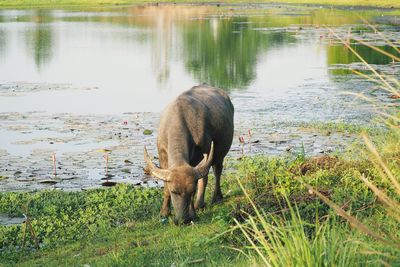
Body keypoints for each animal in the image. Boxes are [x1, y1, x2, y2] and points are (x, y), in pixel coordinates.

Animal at [144, 85, 233, 225]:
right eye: (174, 191)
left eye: (191, 191)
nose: (183, 220)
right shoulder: (162, 156)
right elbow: (165, 187)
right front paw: (164, 212)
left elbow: (201, 180)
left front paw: (193, 213)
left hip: (220, 153)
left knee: (216, 172)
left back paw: (212, 199)